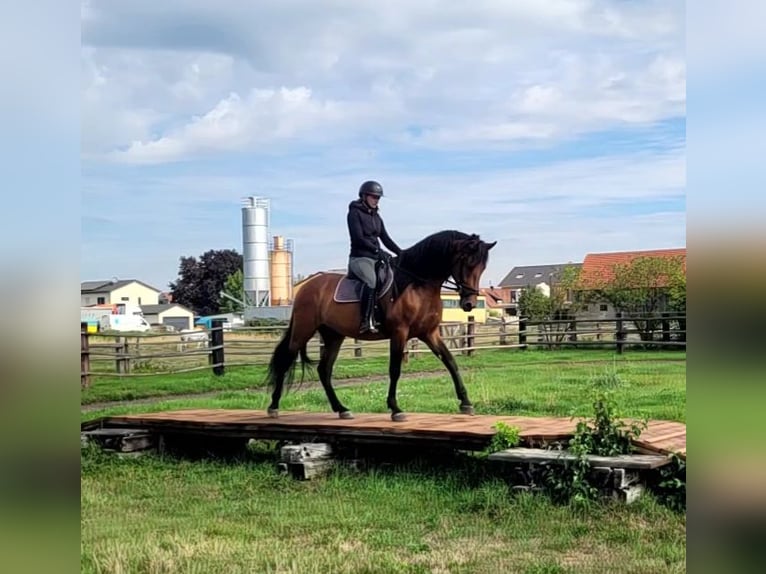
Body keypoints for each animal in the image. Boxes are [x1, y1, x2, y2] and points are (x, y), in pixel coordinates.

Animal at [264, 229, 496, 422]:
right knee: (285, 361)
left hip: (333, 336)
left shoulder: (429, 333)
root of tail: (305, 288)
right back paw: (273, 407)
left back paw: (341, 409)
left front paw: (466, 403)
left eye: (483, 267)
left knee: (324, 370)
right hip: (303, 330)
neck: (417, 285)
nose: (469, 303)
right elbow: (395, 369)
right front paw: (395, 409)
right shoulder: (399, 333)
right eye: (467, 262)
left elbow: (450, 362)